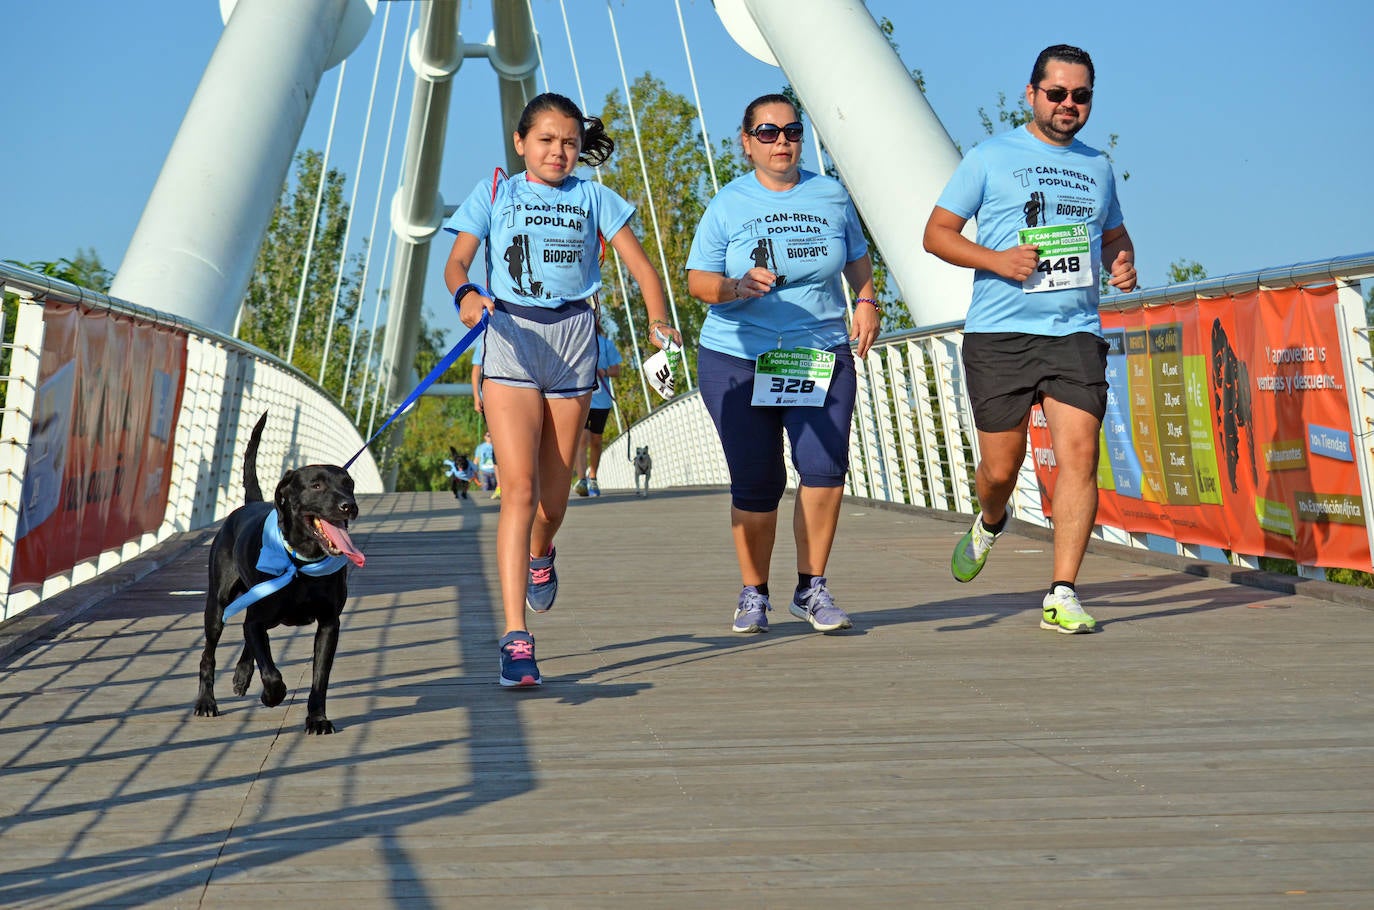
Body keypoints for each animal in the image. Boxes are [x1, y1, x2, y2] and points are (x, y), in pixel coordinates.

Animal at [195, 412, 365, 736]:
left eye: (349, 484)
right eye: (316, 486)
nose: (348, 506)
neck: (300, 564)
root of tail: (248, 505)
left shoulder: (329, 623)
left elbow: (320, 677)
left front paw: (318, 719)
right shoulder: (256, 617)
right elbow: (271, 672)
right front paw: (271, 695)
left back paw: (241, 675)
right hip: (217, 606)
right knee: (209, 655)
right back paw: (206, 702)